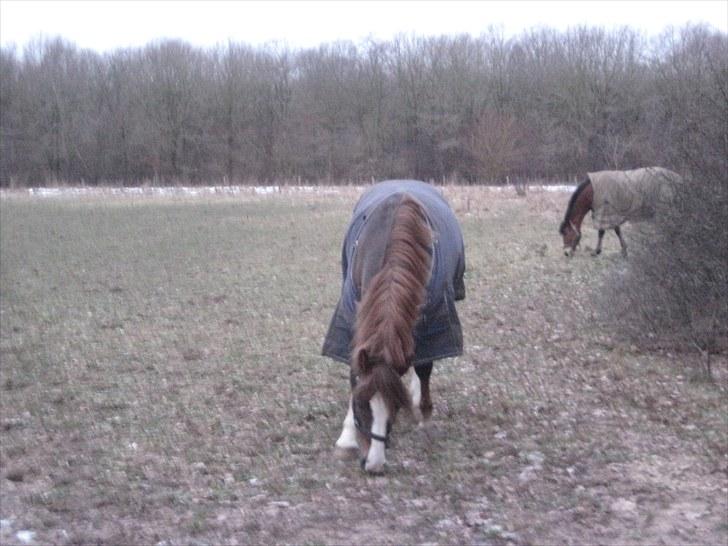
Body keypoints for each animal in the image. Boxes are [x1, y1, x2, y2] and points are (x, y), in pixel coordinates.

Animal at [322, 180, 465, 473]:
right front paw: (347, 440)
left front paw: (424, 417)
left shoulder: (433, 319)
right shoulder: (352, 318)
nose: (374, 465)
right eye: (361, 405)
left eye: (396, 408)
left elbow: (424, 367)